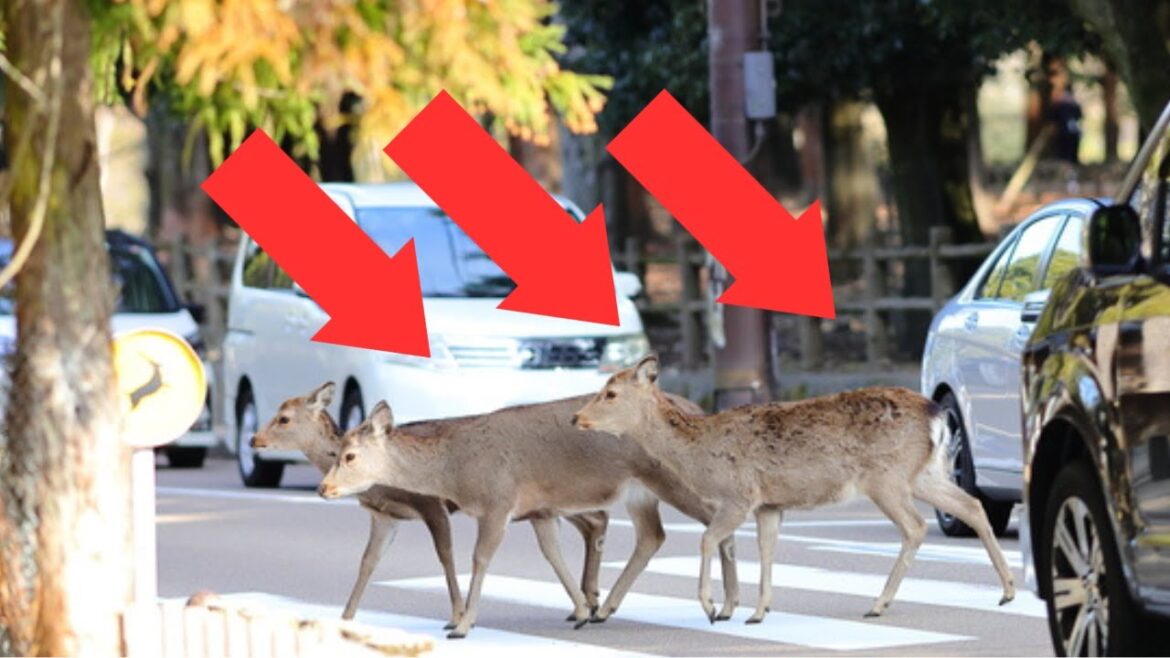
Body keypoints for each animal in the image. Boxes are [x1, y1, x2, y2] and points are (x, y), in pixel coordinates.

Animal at [253, 383, 610, 630]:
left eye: (283, 418)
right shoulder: (385, 516)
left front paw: (456, 616)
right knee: (592, 521)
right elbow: (368, 562)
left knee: (597, 516)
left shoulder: (430, 504)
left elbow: (445, 555)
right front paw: (345, 617)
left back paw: (591, 603)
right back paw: (587, 603)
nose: (254, 440)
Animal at [317, 393, 743, 639]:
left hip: (675, 479)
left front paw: (462, 625)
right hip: (642, 493)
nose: (323, 488)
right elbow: (552, 554)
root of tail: (699, 410)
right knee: (654, 535)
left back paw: (724, 606)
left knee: (720, 516)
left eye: (348, 455)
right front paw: (582, 610)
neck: (457, 468)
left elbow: (480, 559)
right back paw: (607, 609)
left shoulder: (497, 501)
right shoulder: (540, 510)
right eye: (337, 452)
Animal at [571, 355, 1016, 625]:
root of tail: (937, 413)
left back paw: (878, 604)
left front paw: (713, 607)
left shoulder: (739, 495)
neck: (700, 453)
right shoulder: (770, 504)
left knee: (916, 526)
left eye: (611, 393)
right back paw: (1008, 591)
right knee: (971, 505)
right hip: (924, 473)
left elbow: (707, 539)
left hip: (886, 477)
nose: (576, 417)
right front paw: (757, 612)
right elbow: (767, 549)